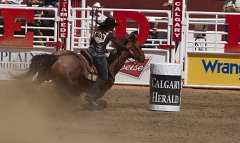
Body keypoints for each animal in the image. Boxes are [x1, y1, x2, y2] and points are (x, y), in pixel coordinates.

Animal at [15, 33, 145, 107]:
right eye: (138, 46)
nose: (143, 58)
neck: (110, 66)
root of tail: (56, 57)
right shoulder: (99, 91)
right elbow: (92, 98)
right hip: (67, 84)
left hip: (43, 77)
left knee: (30, 87)